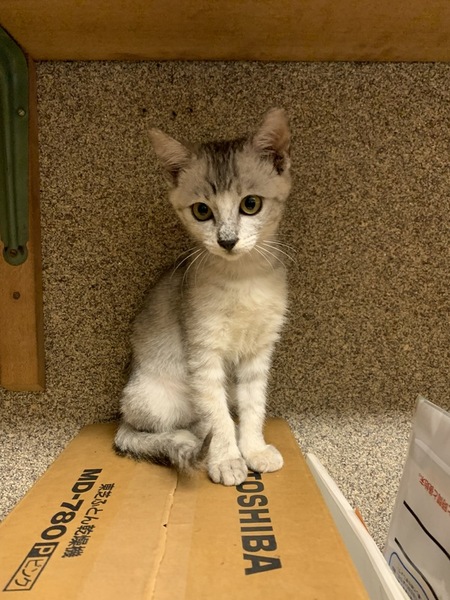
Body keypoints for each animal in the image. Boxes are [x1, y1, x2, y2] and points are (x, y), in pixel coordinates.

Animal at [114, 108, 292, 486]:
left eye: (250, 204)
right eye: (201, 211)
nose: (227, 240)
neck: (242, 280)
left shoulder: (259, 352)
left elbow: (254, 405)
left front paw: (253, 449)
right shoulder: (203, 354)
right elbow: (217, 415)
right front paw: (227, 459)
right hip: (159, 397)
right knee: (178, 425)